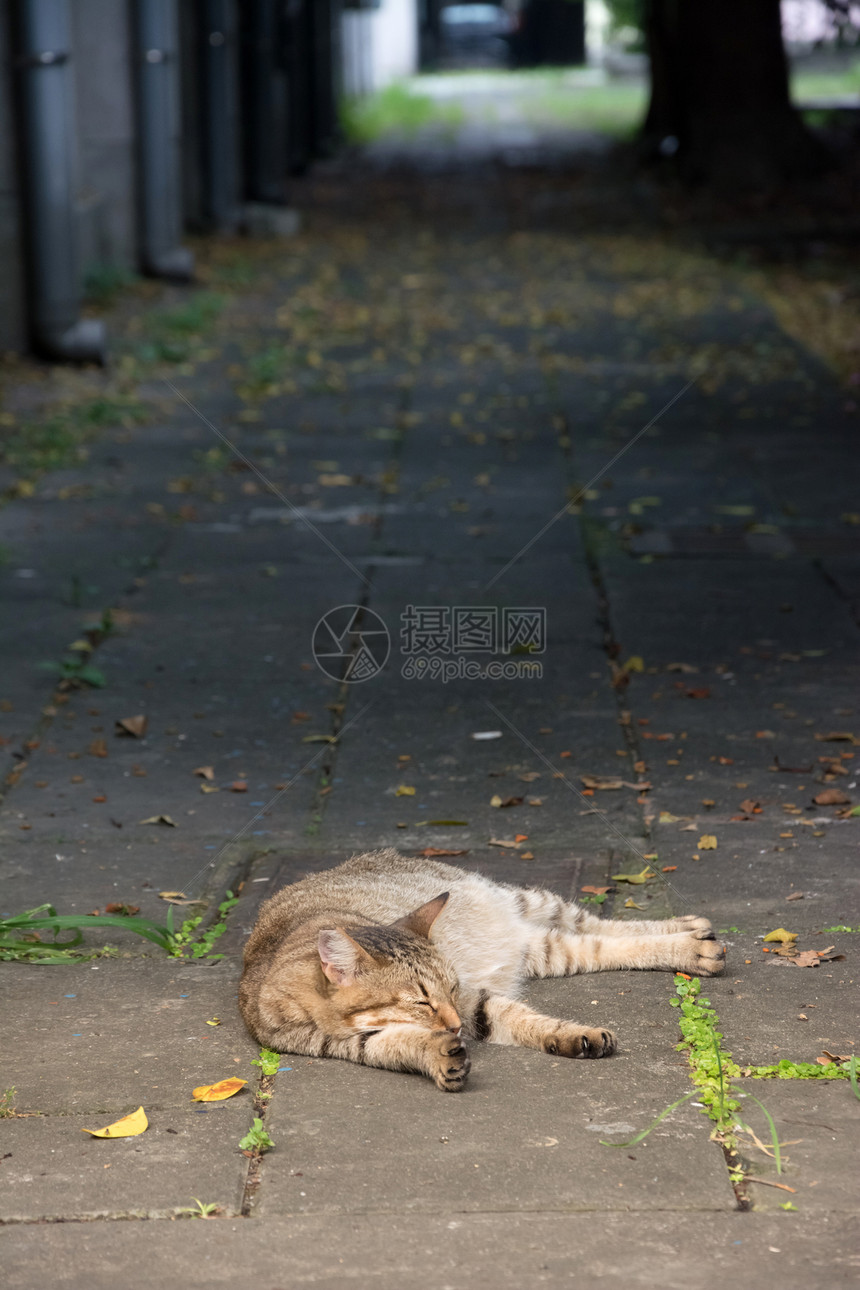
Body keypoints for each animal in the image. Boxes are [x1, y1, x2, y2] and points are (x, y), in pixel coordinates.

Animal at [238, 851, 722, 1093]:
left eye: (451, 988)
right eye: (421, 1000)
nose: (453, 1026)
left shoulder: (472, 999)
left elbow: (518, 1015)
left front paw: (570, 1033)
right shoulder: (351, 1043)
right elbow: (401, 1044)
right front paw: (437, 1056)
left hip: (532, 902)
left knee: (598, 925)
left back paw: (691, 940)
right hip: (545, 948)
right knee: (597, 943)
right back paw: (690, 938)